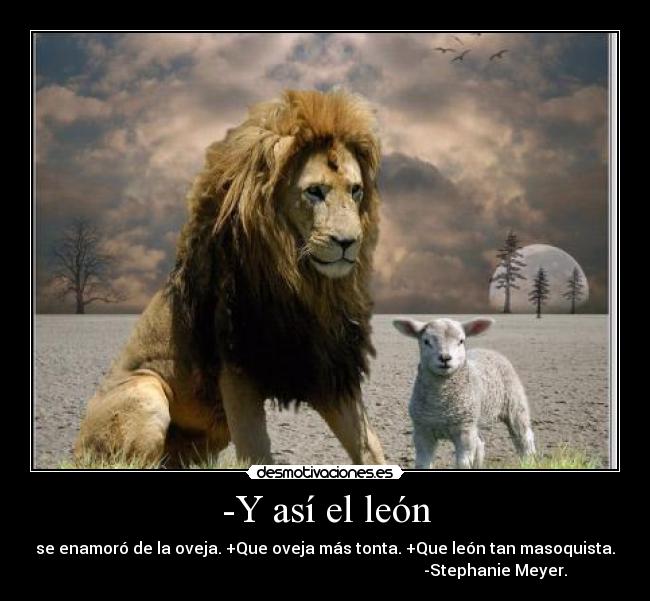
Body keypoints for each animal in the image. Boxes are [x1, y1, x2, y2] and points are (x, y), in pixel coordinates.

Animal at [74, 89, 386, 467]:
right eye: (314, 191)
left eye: (355, 190)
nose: (348, 242)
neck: (305, 285)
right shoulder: (237, 369)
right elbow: (255, 451)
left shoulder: (327, 364)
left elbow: (371, 448)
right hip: (145, 394)